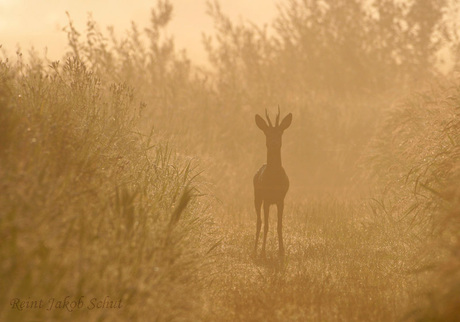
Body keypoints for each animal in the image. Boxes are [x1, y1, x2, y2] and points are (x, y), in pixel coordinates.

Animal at [253, 107, 292, 258]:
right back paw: (254, 250)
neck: (274, 178)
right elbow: (266, 225)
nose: (274, 142)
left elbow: (279, 225)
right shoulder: (267, 199)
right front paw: (263, 251)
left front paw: (282, 251)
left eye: (280, 132)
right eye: (267, 133)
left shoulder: (281, 199)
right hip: (257, 197)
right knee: (259, 222)